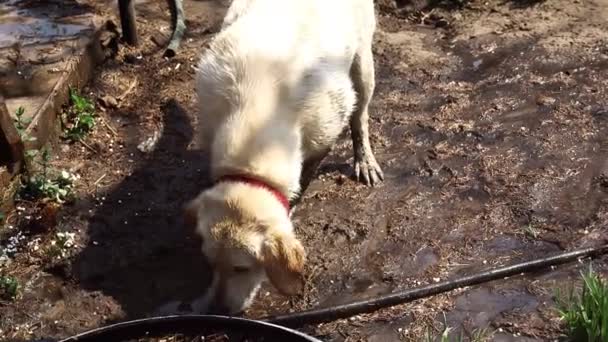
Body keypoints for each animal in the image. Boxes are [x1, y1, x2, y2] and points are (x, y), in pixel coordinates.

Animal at [186, 0, 384, 314]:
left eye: (242, 268)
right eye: (210, 263)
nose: (218, 308)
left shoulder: (323, 135)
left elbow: (303, 181)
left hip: (363, 60)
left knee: (361, 115)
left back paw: (364, 158)